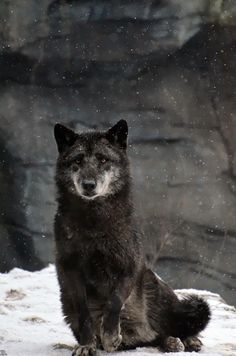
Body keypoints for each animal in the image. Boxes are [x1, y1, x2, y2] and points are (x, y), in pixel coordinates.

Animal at [53, 121, 210, 354]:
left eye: (103, 159)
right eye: (78, 160)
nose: (88, 184)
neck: (95, 224)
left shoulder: (129, 266)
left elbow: (114, 302)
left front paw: (110, 336)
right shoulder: (72, 272)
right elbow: (85, 315)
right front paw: (88, 345)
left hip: (157, 290)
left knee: (176, 324)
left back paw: (187, 340)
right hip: (67, 307)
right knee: (155, 337)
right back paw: (168, 342)